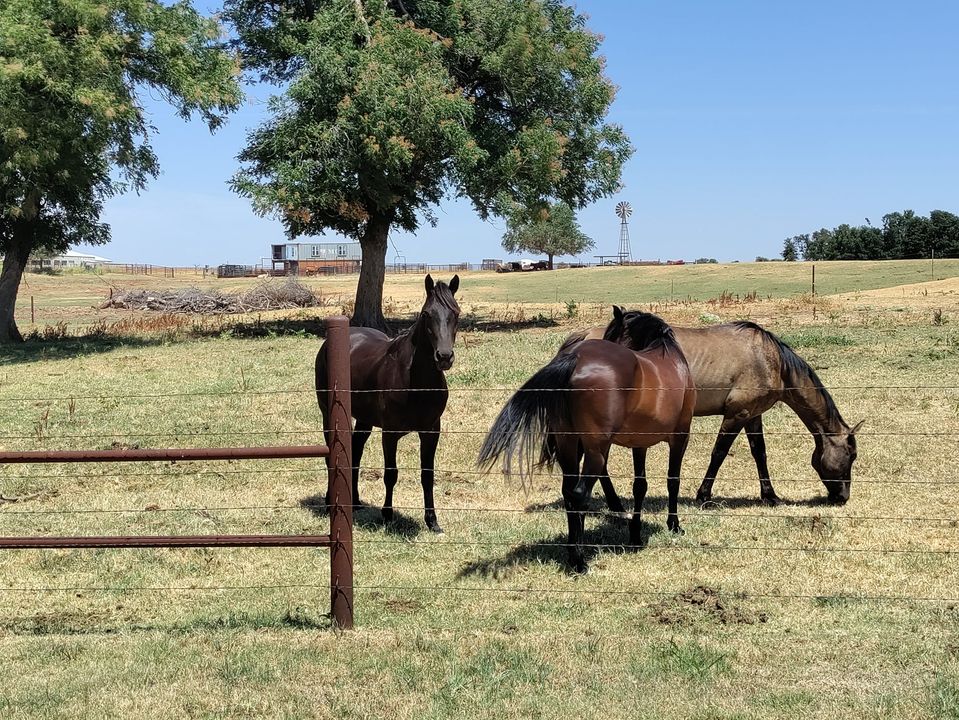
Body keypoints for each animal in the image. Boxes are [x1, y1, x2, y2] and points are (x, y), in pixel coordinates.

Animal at [316, 272, 462, 532]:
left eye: (456, 313)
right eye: (427, 314)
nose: (444, 357)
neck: (416, 380)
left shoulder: (431, 431)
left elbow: (427, 475)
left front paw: (432, 521)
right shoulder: (390, 433)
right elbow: (391, 473)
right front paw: (387, 515)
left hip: (364, 419)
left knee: (356, 451)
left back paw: (355, 501)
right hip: (328, 414)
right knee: (332, 456)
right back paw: (329, 501)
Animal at [480, 310, 696, 572]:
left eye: (612, 334)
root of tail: (576, 358)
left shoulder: (639, 443)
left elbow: (640, 487)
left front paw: (635, 535)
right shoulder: (680, 436)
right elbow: (673, 481)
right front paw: (674, 525)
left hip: (569, 447)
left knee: (568, 493)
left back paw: (572, 551)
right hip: (596, 452)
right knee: (579, 493)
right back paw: (579, 560)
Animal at [564, 314, 864, 506]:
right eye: (851, 456)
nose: (842, 497)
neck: (771, 359)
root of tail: (582, 338)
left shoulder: (753, 415)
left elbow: (760, 453)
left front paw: (770, 495)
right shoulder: (737, 414)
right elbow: (719, 453)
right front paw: (704, 495)